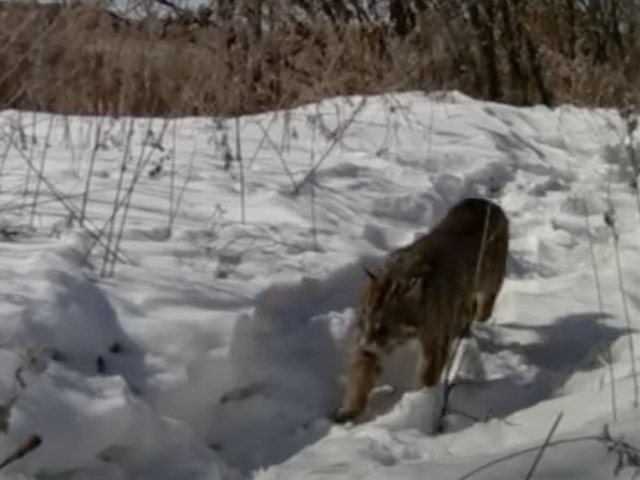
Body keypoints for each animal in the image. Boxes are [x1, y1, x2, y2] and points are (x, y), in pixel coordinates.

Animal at [336, 197, 510, 422]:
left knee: (486, 300)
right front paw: (350, 409)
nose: (365, 342)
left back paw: (480, 320)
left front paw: (417, 399)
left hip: (491, 278)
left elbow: (427, 376)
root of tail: (485, 200)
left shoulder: (435, 342)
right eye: (361, 321)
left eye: (383, 327)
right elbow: (361, 373)